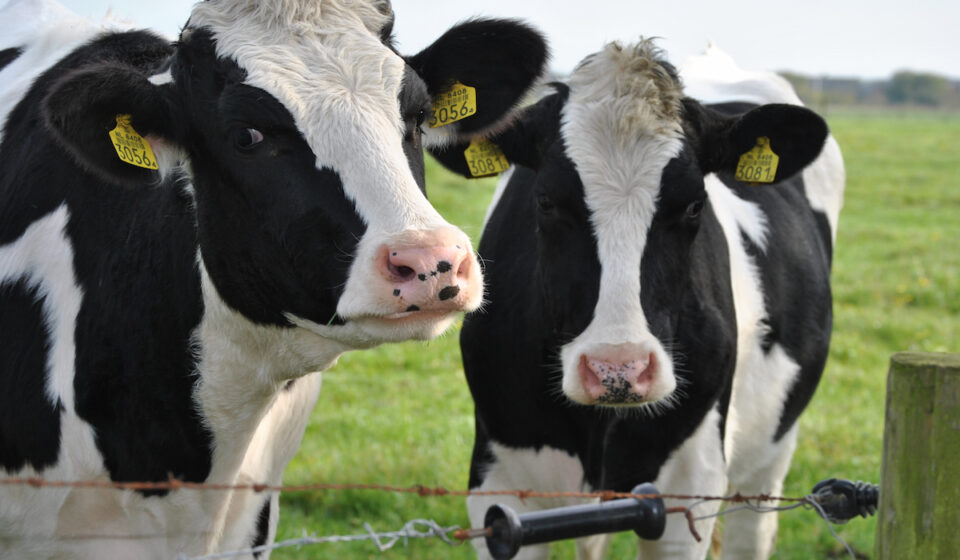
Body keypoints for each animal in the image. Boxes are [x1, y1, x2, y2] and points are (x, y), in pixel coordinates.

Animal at [429, 39, 844, 559]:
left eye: (694, 205)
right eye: (545, 201)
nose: (618, 370)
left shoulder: (688, 491)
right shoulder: (497, 487)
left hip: (772, 450)